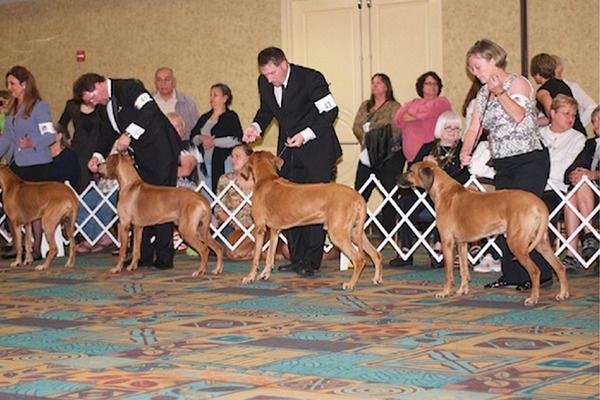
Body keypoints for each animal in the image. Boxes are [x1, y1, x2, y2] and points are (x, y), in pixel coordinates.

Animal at [240, 151, 383, 289]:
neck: (267, 179)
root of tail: (358, 197)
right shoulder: (275, 230)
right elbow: (270, 256)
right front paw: (265, 275)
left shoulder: (259, 228)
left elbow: (256, 257)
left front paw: (250, 277)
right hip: (355, 232)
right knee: (376, 254)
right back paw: (377, 279)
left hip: (338, 233)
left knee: (359, 259)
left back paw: (351, 284)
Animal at [397, 161, 569, 306]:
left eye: (410, 171)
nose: (396, 178)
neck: (444, 191)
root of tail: (538, 203)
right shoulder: (461, 243)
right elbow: (464, 270)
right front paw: (463, 290)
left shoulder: (447, 242)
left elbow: (448, 272)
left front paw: (445, 292)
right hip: (541, 242)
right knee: (559, 267)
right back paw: (563, 294)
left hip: (517, 244)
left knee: (535, 271)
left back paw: (533, 298)